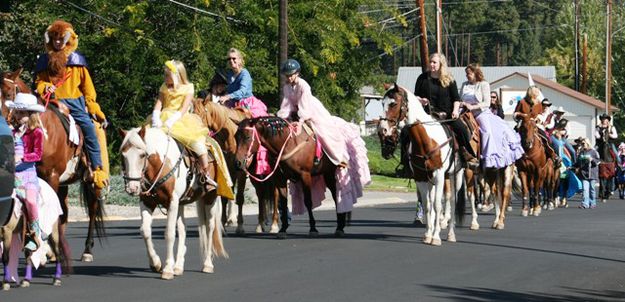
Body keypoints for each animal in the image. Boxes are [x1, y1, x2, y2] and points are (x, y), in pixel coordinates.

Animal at [0, 68, 105, 262]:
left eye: (9, 94)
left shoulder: (52, 176)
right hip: (64, 184)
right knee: (64, 212)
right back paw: (57, 250)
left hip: (92, 181)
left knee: (93, 209)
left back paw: (87, 250)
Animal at [119, 126, 227, 280]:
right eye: (123, 156)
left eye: (142, 155)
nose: (132, 188)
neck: (162, 164)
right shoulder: (147, 202)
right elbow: (145, 230)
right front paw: (156, 263)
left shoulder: (172, 202)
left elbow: (169, 233)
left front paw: (168, 269)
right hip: (182, 204)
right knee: (182, 229)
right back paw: (178, 266)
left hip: (210, 198)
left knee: (210, 228)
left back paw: (207, 264)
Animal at [191, 99, 286, 234]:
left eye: (199, 115)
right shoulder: (228, 171)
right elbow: (225, 198)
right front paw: (223, 225)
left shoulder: (241, 172)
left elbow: (240, 198)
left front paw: (240, 226)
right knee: (261, 194)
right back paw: (260, 224)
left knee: (275, 194)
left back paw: (273, 225)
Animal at [376, 84, 464, 245]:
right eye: (382, 103)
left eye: (393, 103)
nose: (382, 129)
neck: (427, 139)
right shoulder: (421, 177)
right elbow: (428, 205)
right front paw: (428, 234)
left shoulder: (439, 174)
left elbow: (437, 204)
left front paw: (436, 237)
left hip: (455, 175)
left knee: (452, 201)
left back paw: (451, 234)